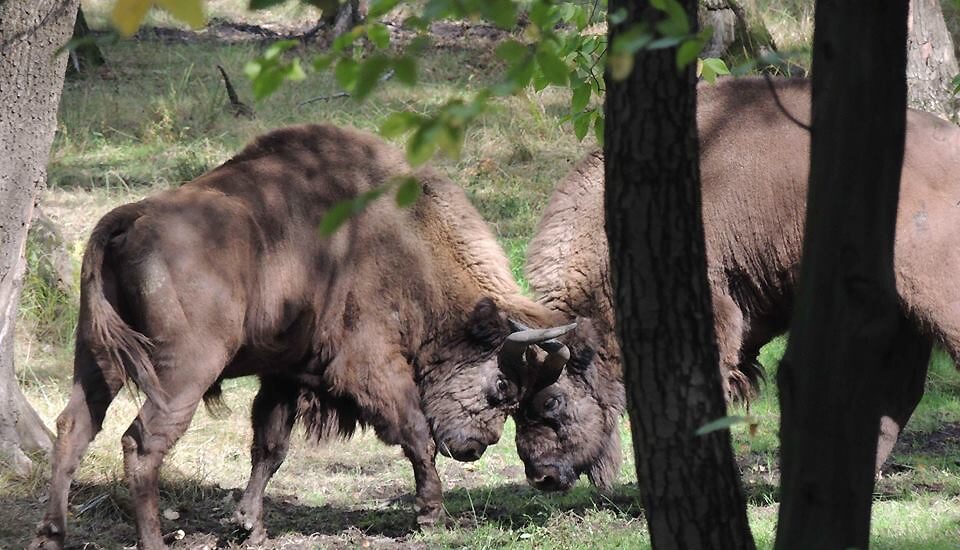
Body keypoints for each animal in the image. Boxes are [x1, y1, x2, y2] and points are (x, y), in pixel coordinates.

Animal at [28, 125, 576, 550]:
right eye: (502, 388)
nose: (476, 448)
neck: (405, 238)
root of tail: (130, 217)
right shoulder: (370, 366)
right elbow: (416, 433)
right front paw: (431, 515)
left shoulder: (284, 374)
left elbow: (270, 446)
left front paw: (250, 525)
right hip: (182, 371)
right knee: (141, 443)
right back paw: (152, 540)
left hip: (96, 357)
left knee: (75, 426)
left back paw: (52, 534)